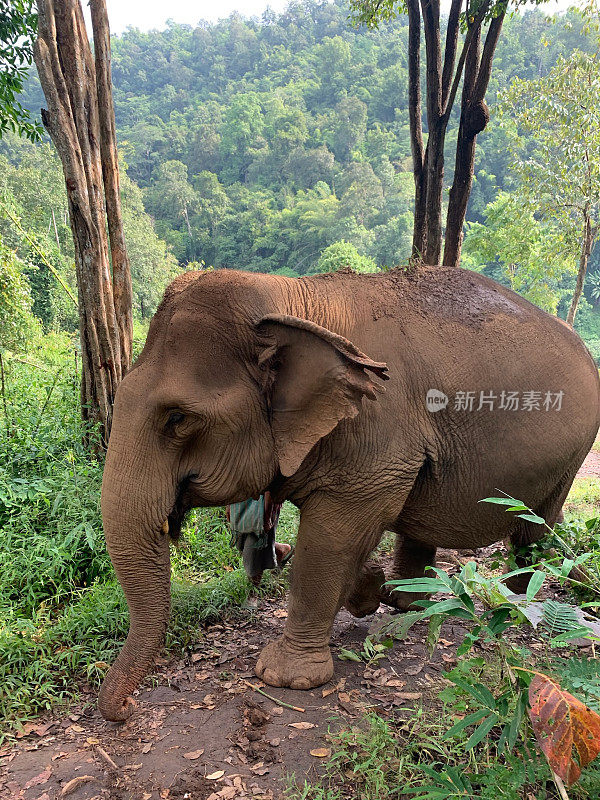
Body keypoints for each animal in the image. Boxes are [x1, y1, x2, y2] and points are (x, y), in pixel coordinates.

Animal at [99, 266, 600, 720]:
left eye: (177, 419)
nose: (124, 709)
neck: (294, 297)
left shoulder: (378, 437)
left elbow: (329, 541)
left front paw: (284, 677)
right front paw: (366, 591)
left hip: (570, 455)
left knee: (533, 529)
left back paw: (516, 604)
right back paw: (405, 599)